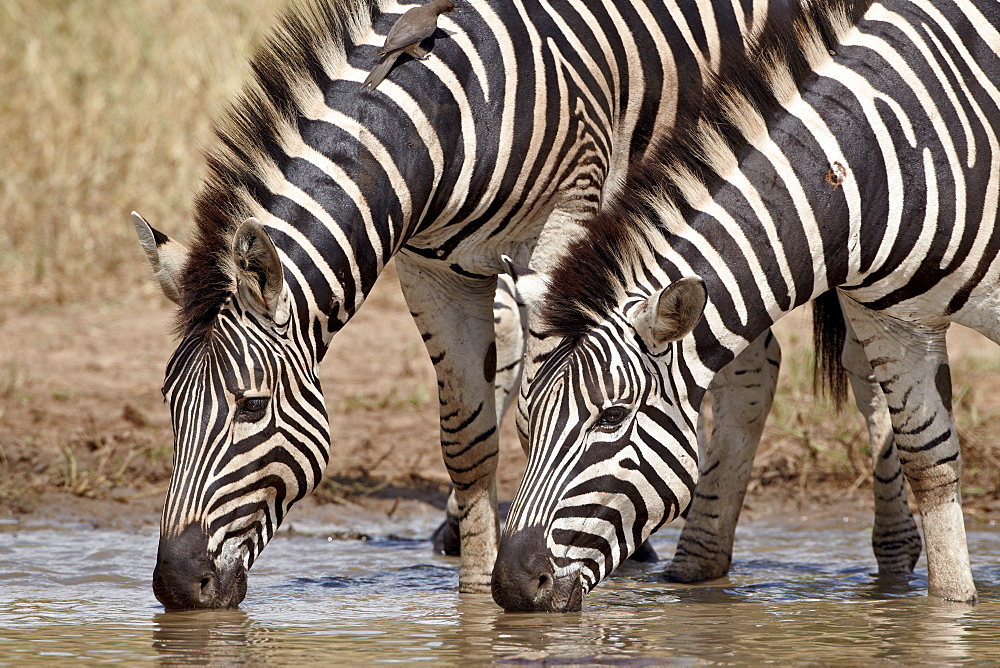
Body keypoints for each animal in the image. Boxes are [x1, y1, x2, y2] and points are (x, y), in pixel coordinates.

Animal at [494, 0, 1000, 612]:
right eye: (525, 422)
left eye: (612, 416)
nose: (513, 584)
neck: (878, 164)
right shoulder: (893, 322)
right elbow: (928, 462)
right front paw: (951, 612)